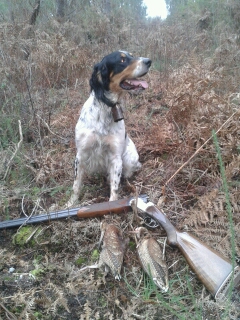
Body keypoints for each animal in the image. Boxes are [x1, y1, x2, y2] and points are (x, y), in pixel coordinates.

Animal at [66, 50, 151, 205]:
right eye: (122, 60)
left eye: (131, 55)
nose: (149, 61)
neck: (106, 109)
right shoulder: (80, 155)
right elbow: (76, 184)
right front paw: (70, 204)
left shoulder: (116, 158)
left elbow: (115, 186)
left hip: (129, 159)